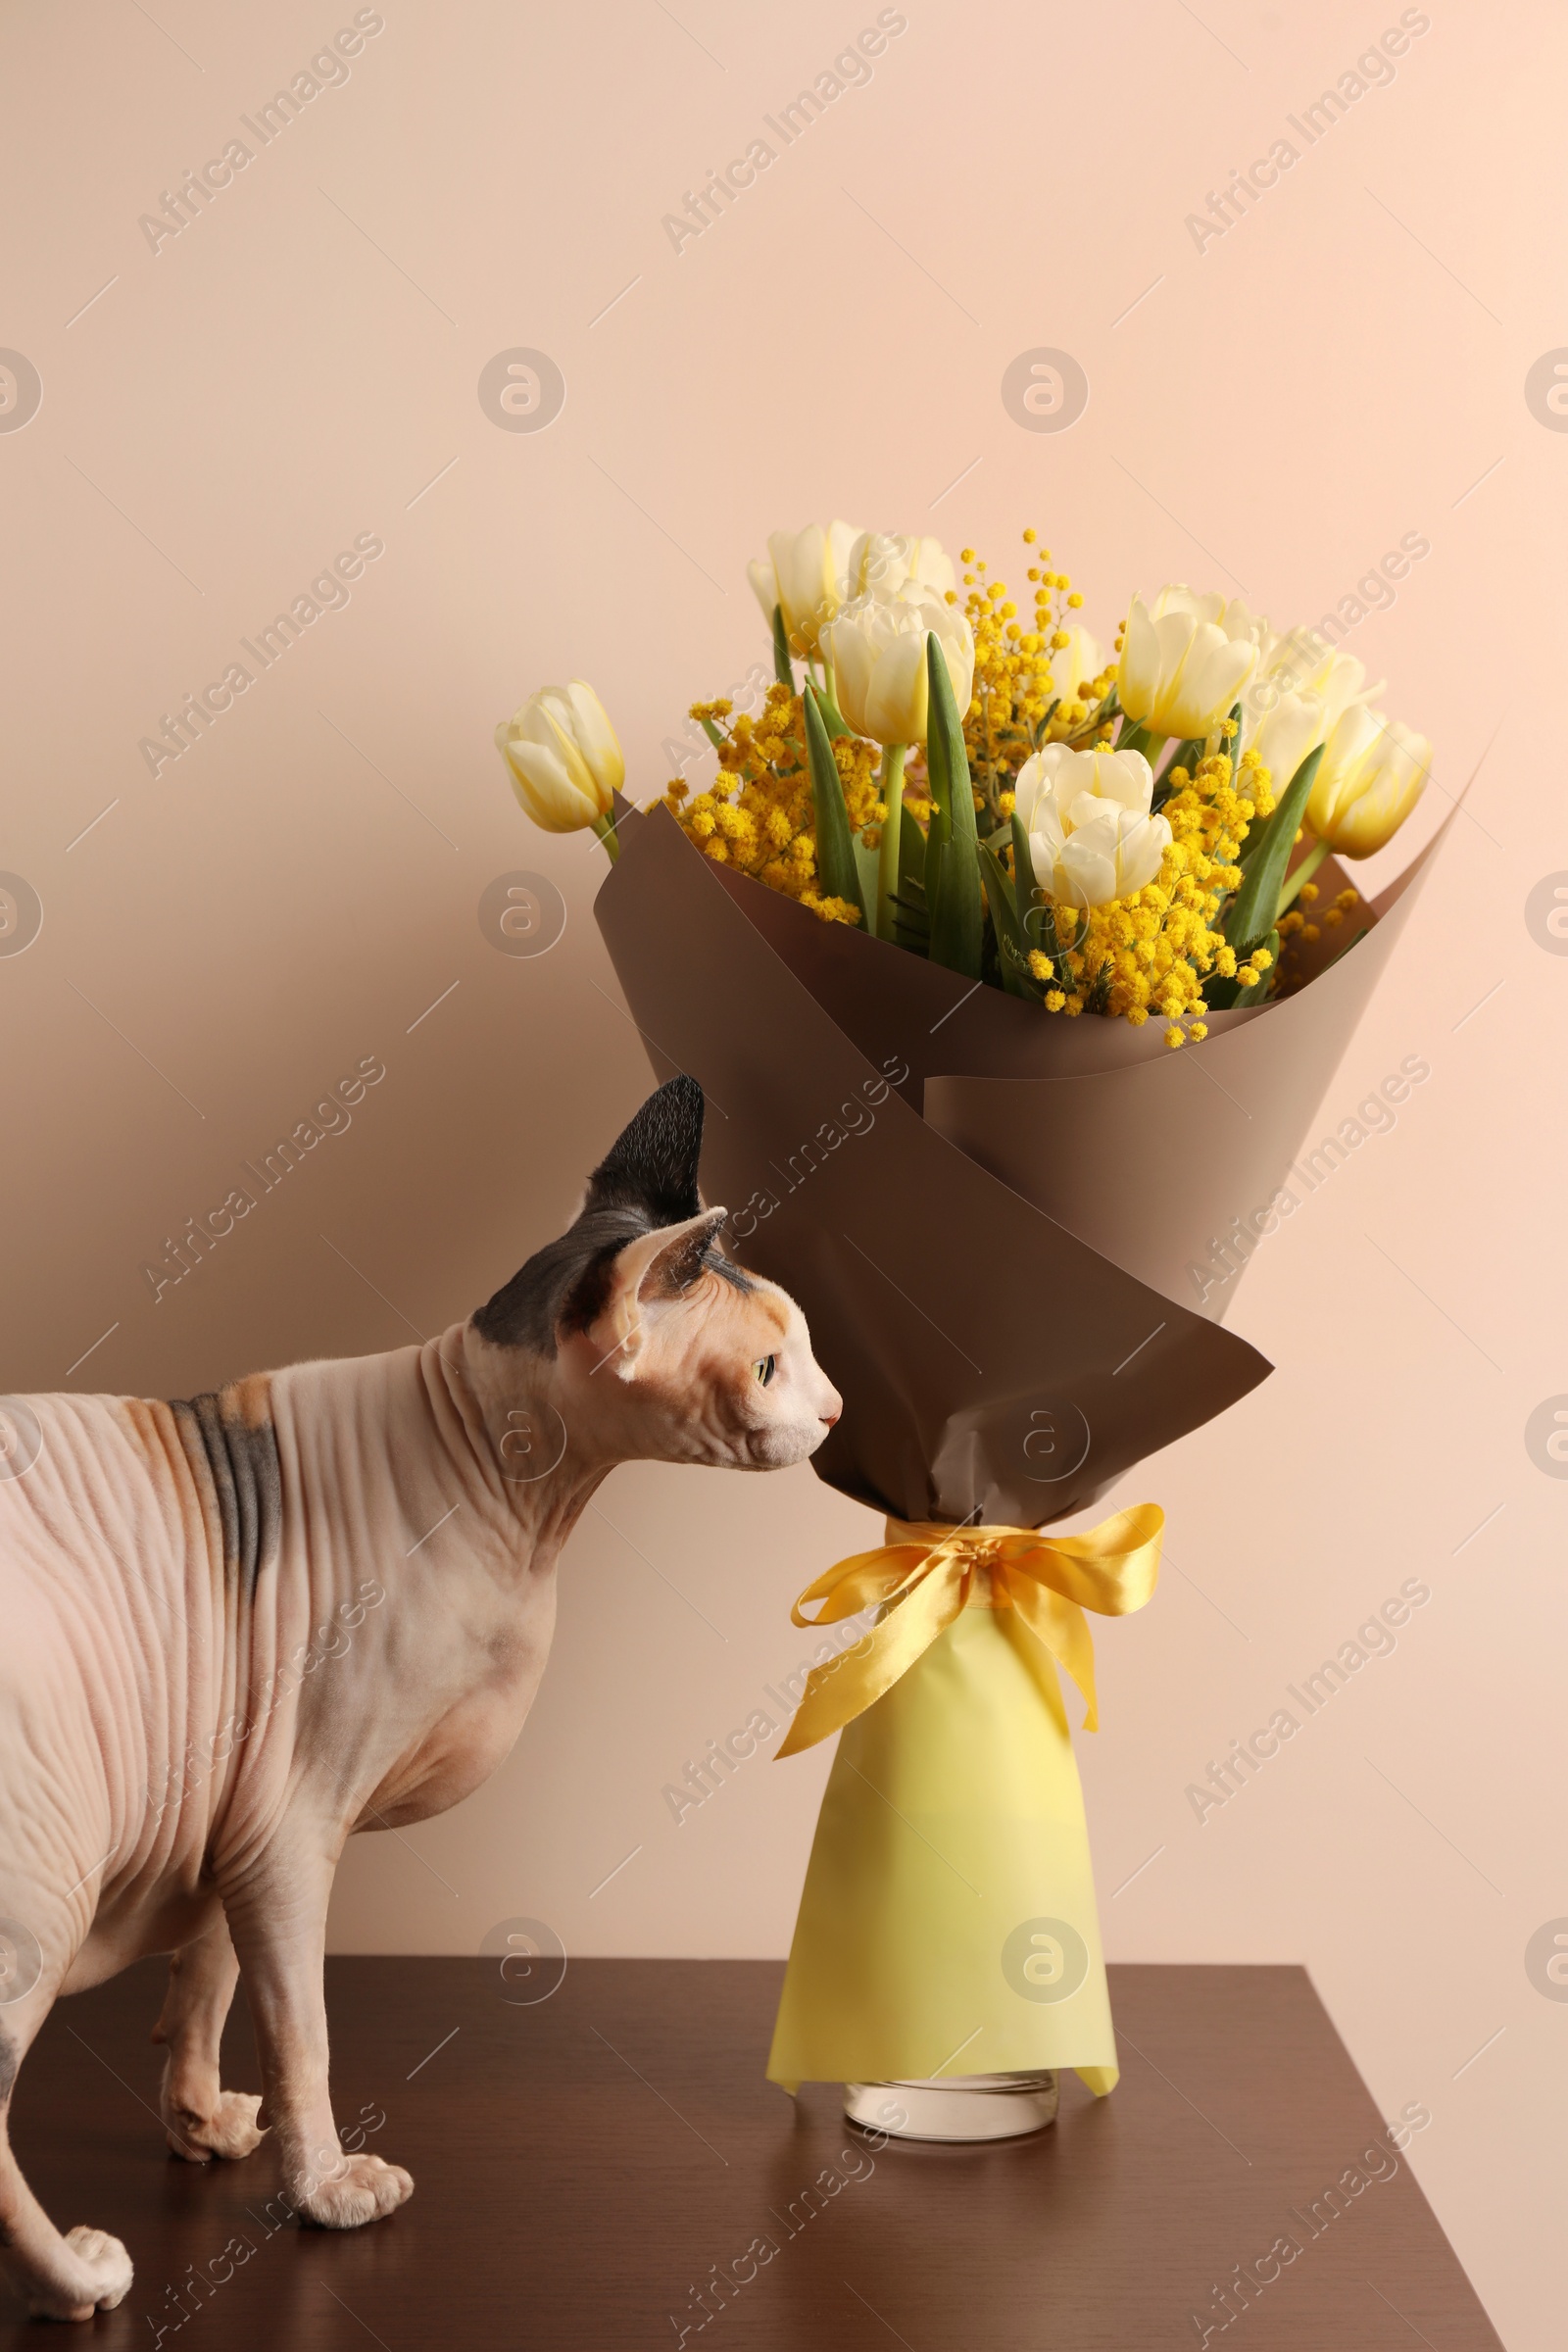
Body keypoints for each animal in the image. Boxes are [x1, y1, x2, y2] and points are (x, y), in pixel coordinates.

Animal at [0, 1077, 846, 2314]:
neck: (513, 1501)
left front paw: (200, 2124)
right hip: (44, 1875)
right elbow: (299, 2030)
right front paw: (325, 2191)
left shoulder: (236, 1801)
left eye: (808, 1349)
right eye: (770, 1369)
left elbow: (210, 1974)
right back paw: (74, 2276)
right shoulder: (287, 1827)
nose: (836, 1413)